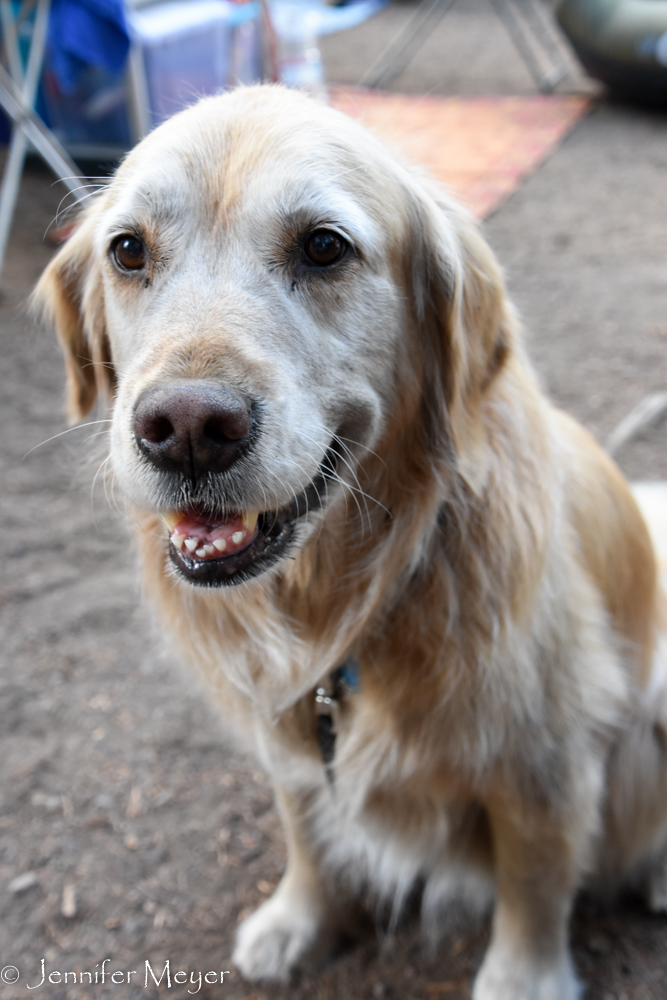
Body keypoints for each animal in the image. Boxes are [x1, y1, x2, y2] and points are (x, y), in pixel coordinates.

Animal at [34, 86, 667, 1000]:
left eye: (324, 247)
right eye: (127, 250)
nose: (185, 429)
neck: (348, 596)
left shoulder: (543, 757)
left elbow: (534, 882)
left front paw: (521, 979)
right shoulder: (290, 734)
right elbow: (306, 830)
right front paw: (297, 918)